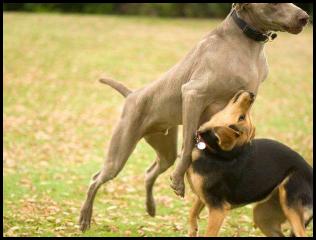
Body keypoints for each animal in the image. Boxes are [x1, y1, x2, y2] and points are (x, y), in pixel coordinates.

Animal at [186, 91, 312, 237]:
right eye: (242, 117)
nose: (252, 95)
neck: (212, 149)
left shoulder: (218, 209)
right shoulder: (203, 196)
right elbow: (192, 212)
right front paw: (193, 229)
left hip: (290, 202)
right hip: (263, 215)